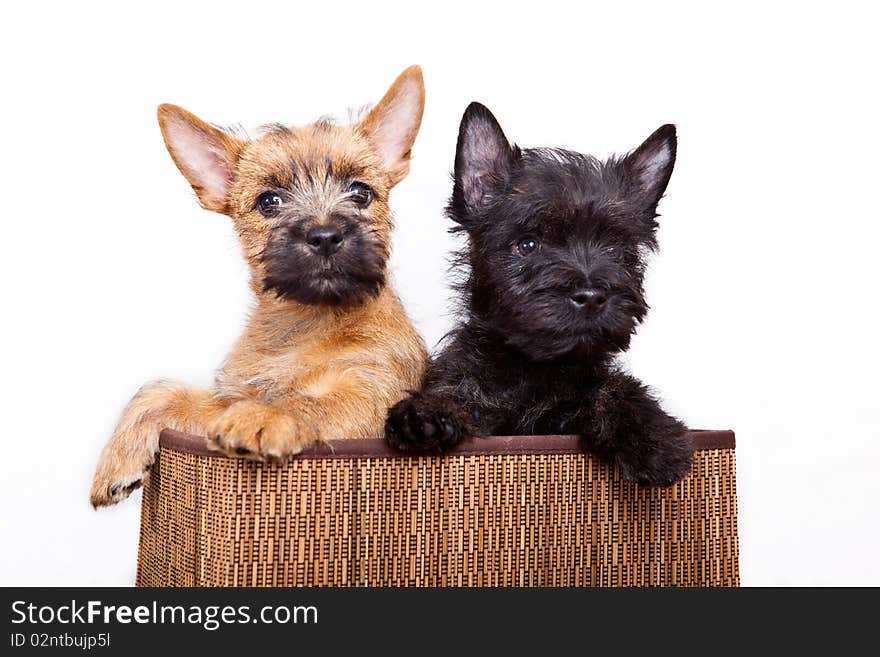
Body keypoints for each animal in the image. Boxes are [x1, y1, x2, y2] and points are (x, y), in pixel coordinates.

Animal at [91, 66, 428, 508]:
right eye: (269, 201)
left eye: (360, 192)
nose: (325, 236)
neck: (305, 324)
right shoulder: (229, 398)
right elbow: (162, 391)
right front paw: (115, 460)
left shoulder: (373, 392)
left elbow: (311, 401)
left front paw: (269, 414)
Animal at [384, 100, 696, 484]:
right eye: (528, 245)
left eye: (616, 249)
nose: (591, 296)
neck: (533, 369)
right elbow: (460, 394)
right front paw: (427, 413)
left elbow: (613, 387)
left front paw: (651, 438)